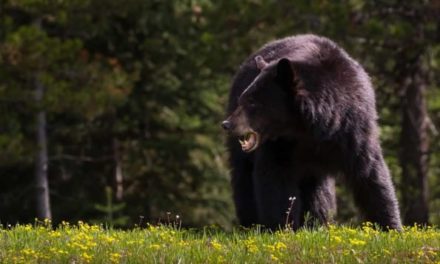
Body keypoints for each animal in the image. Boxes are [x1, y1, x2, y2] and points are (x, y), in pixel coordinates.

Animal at [223, 34, 402, 230]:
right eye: (243, 99)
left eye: (253, 102)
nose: (227, 124)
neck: (308, 129)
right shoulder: (280, 144)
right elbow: (275, 178)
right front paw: (282, 227)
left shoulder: (353, 128)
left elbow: (370, 174)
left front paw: (391, 226)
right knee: (243, 178)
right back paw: (251, 223)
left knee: (319, 193)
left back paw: (318, 222)